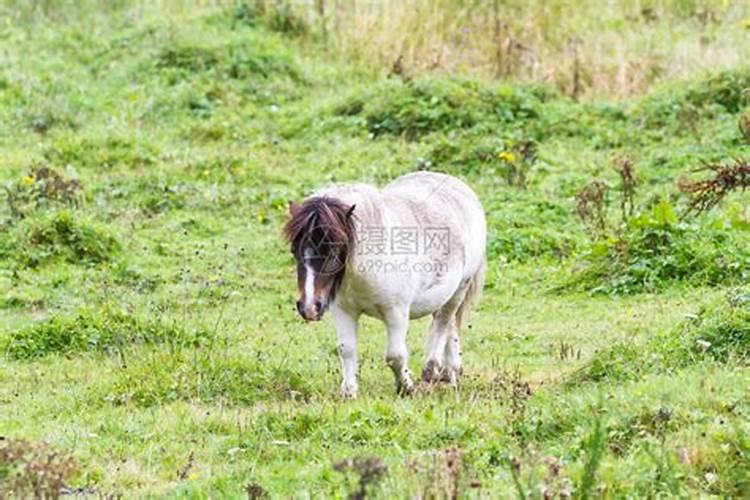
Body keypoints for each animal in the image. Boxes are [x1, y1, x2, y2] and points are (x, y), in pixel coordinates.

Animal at [284, 172, 488, 398]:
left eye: (334, 251)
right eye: (294, 251)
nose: (308, 308)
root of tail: (458, 185)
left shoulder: (396, 313)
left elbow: (395, 356)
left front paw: (406, 386)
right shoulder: (344, 311)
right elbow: (346, 349)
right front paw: (348, 392)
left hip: (459, 289)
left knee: (443, 322)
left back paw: (432, 370)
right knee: (449, 325)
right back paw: (450, 374)